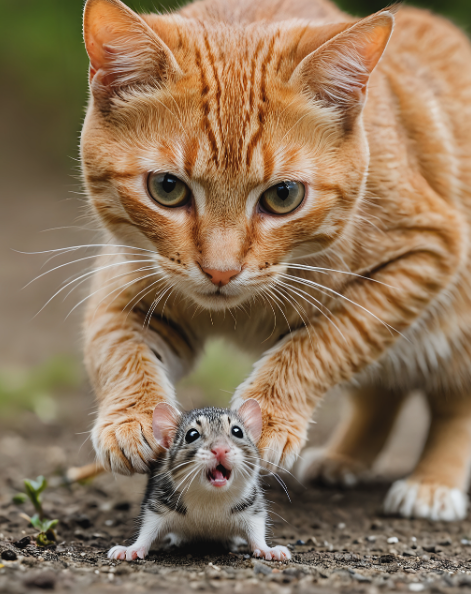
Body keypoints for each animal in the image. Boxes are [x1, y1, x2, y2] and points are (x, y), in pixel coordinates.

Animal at [82, 0, 471, 520]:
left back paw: (433, 483)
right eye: (167, 188)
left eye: (283, 196)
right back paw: (345, 459)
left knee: (453, 404)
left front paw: (264, 416)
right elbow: (117, 348)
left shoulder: (427, 253)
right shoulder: (133, 281)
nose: (221, 271)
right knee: (381, 392)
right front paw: (132, 415)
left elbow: (320, 343)